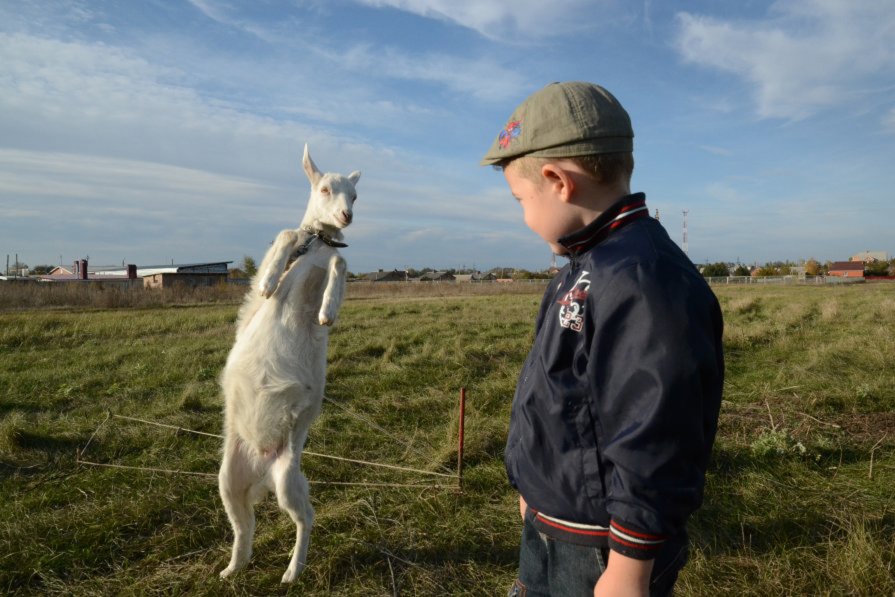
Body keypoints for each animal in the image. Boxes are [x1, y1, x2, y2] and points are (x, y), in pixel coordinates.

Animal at [218, 144, 360, 584]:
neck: (318, 245)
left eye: (355, 195)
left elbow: (341, 265)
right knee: (244, 525)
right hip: (227, 480)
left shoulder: (329, 263)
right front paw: (267, 284)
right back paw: (233, 567)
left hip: (288, 481)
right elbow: (284, 236)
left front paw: (328, 311)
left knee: (306, 519)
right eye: (325, 188)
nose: (347, 217)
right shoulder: (293, 251)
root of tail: (262, 470)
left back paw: (292, 570)